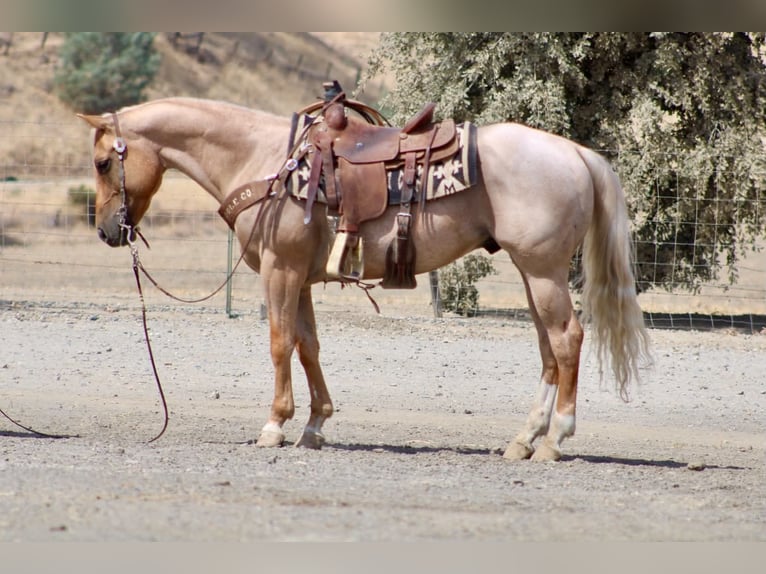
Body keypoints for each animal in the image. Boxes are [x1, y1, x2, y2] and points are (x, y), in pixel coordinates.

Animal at [78, 96, 650, 461]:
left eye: (103, 162)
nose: (106, 231)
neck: (265, 161)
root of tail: (575, 152)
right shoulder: (301, 277)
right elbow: (308, 345)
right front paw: (314, 424)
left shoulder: (281, 271)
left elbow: (280, 342)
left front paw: (275, 425)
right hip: (535, 275)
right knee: (549, 350)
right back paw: (524, 440)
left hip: (543, 271)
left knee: (567, 339)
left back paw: (555, 440)